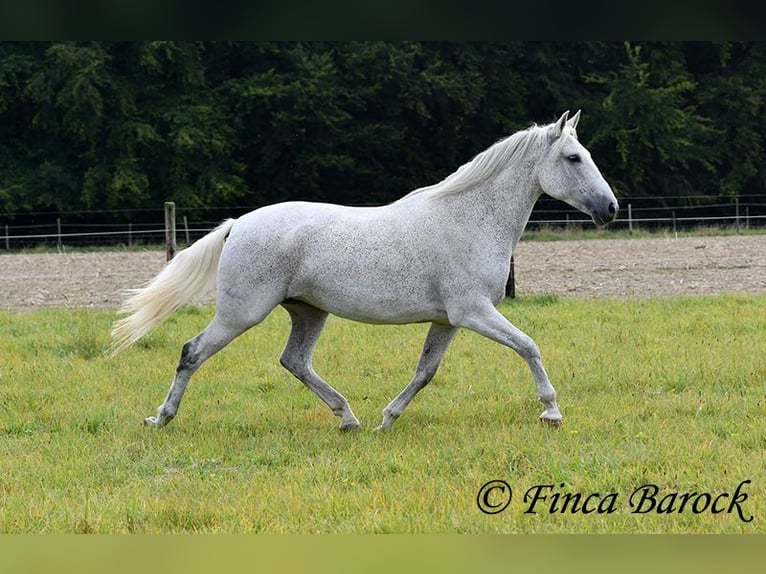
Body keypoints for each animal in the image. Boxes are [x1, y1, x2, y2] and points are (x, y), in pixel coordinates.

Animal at [112, 111, 616, 432]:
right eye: (573, 157)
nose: (609, 208)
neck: (469, 218)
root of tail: (238, 224)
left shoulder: (447, 320)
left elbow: (425, 371)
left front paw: (387, 420)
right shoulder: (473, 312)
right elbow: (528, 346)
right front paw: (551, 412)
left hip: (308, 311)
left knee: (294, 361)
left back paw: (349, 419)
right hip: (242, 312)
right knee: (192, 352)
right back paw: (161, 418)